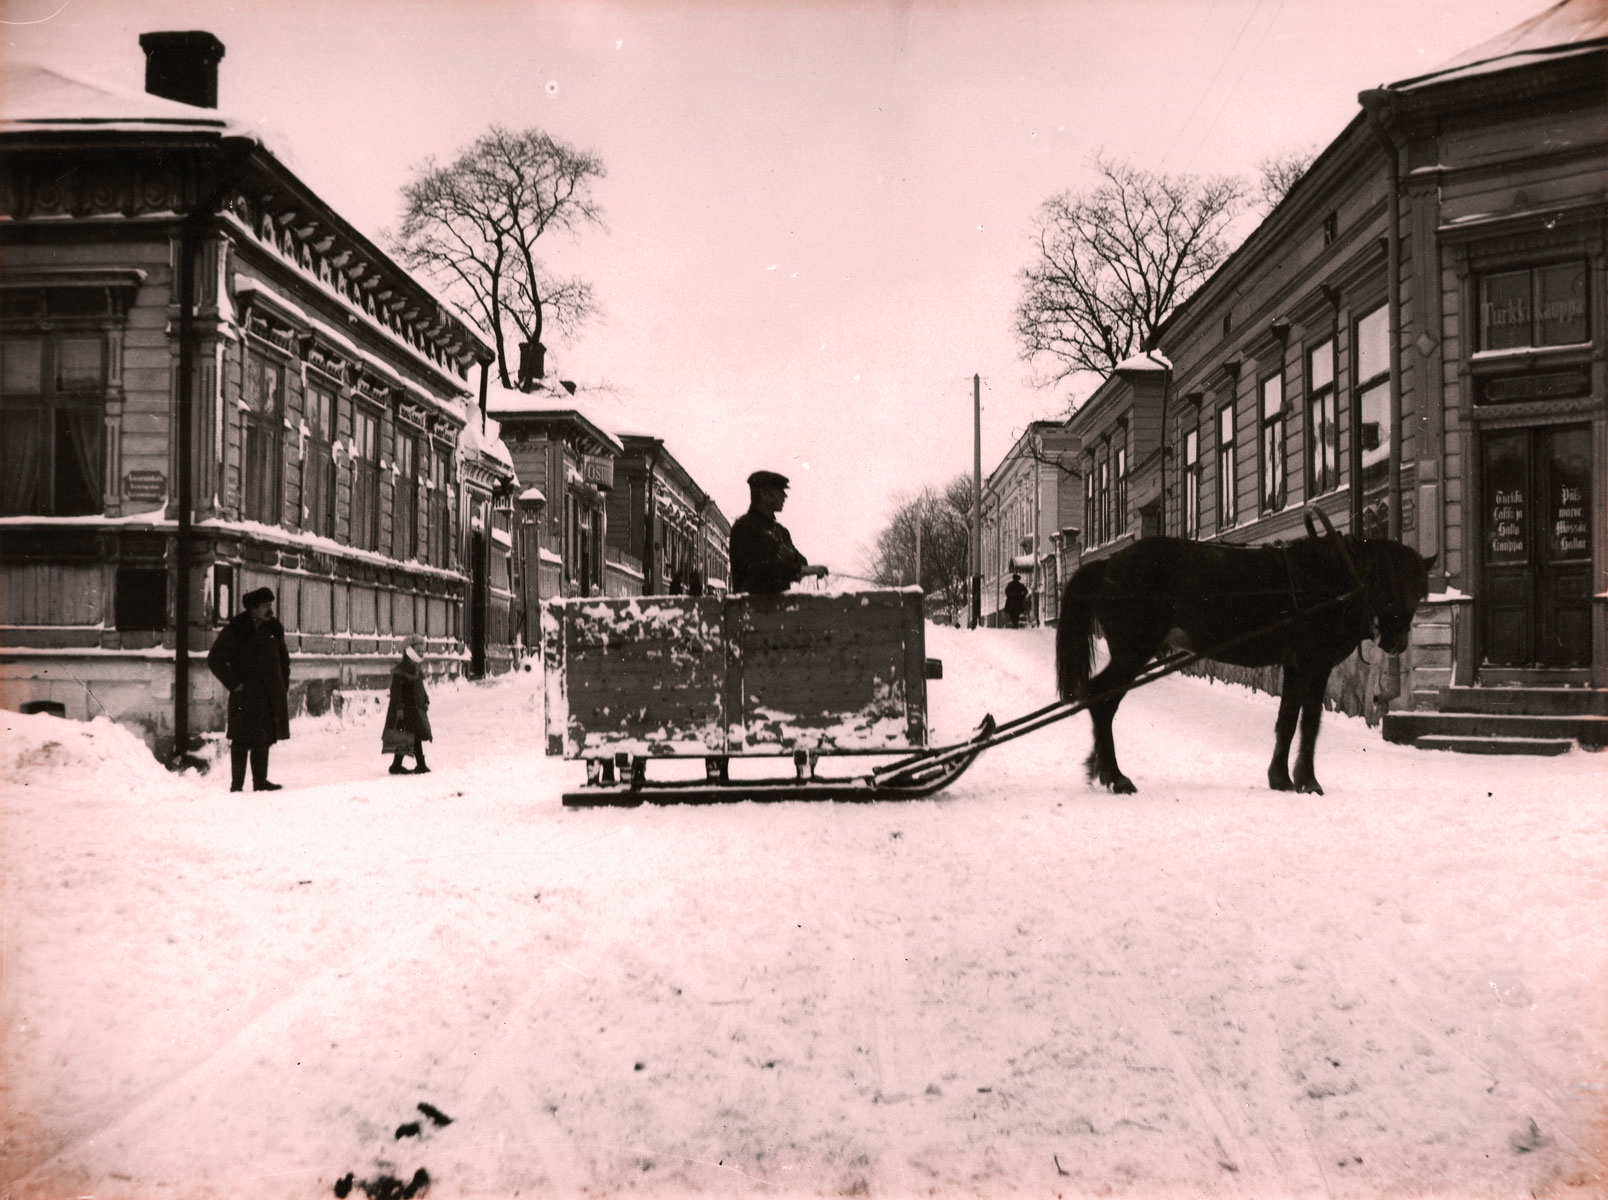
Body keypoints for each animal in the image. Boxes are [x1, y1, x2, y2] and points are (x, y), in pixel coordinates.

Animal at [1055, 526, 1434, 795]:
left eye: (1419, 591)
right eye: (1387, 584)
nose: (1397, 642)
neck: (1328, 578)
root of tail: (1108, 563)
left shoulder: (1295, 665)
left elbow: (1288, 720)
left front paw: (1281, 778)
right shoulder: (1315, 663)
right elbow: (1309, 722)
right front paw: (1308, 781)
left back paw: (1100, 767)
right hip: (1132, 652)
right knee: (1101, 698)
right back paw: (1115, 776)